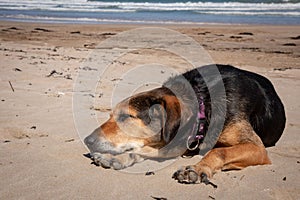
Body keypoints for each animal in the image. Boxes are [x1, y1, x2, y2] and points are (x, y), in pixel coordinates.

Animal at [83, 64, 284, 184]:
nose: (87, 140)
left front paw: (198, 168)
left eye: (127, 116)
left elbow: (219, 151)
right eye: (111, 115)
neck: (204, 103)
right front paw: (115, 158)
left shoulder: (257, 148)